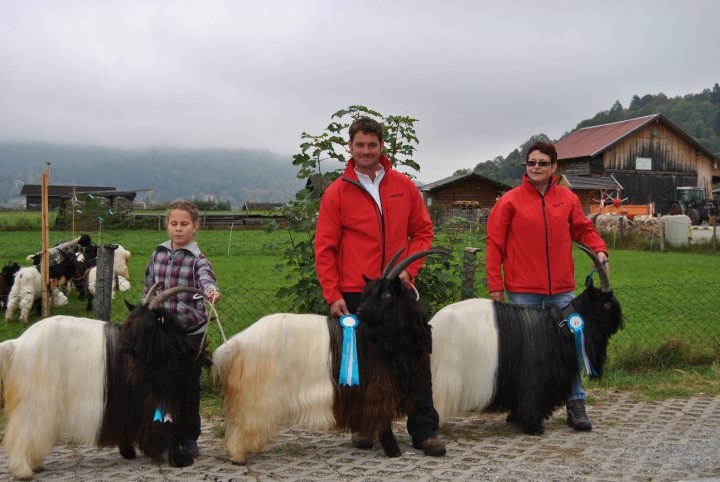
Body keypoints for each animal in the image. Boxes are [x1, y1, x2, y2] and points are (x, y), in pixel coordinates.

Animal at [211, 249, 442, 464]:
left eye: (387, 295)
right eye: (368, 293)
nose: (361, 312)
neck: (381, 338)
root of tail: (237, 343)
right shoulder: (379, 388)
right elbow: (383, 419)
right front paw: (393, 450)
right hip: (258, 393)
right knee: (246, 421)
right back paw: (239, 456)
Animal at [428, 243, 624, 434]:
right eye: (607, 304)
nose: (616, 327)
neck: (561, 325)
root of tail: (433, 324)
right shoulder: (534, 379)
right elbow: (532, 400)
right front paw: (534, 427)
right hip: (446, 372)